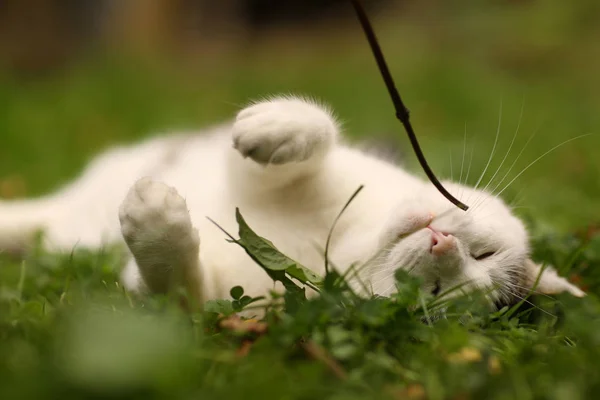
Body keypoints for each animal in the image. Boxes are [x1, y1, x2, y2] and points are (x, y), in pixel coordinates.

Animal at [0, 94, 584, 306]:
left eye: (436, 293)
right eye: (484, 255)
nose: (443, 243)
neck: (342, 243)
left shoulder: (215, 304)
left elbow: (175, 288)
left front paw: (157, 224)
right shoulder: (248, 173)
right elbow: (320, 128)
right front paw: (277, 125)